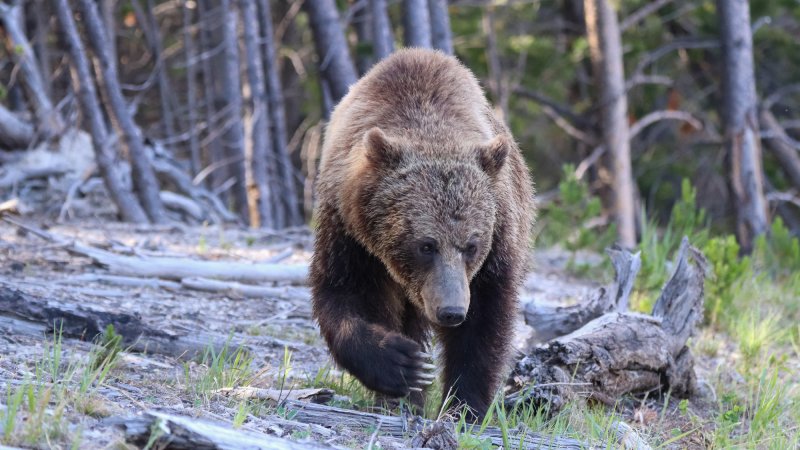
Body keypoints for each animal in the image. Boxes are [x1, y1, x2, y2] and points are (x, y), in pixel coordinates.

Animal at [310, 47, 536, 416]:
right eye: (426, 245)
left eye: (471, 246)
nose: (451, 311)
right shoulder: (349, 232)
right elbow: (344, 293)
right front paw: (403, 365)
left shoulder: (499, 235)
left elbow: (485, 321)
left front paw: (464, 404)